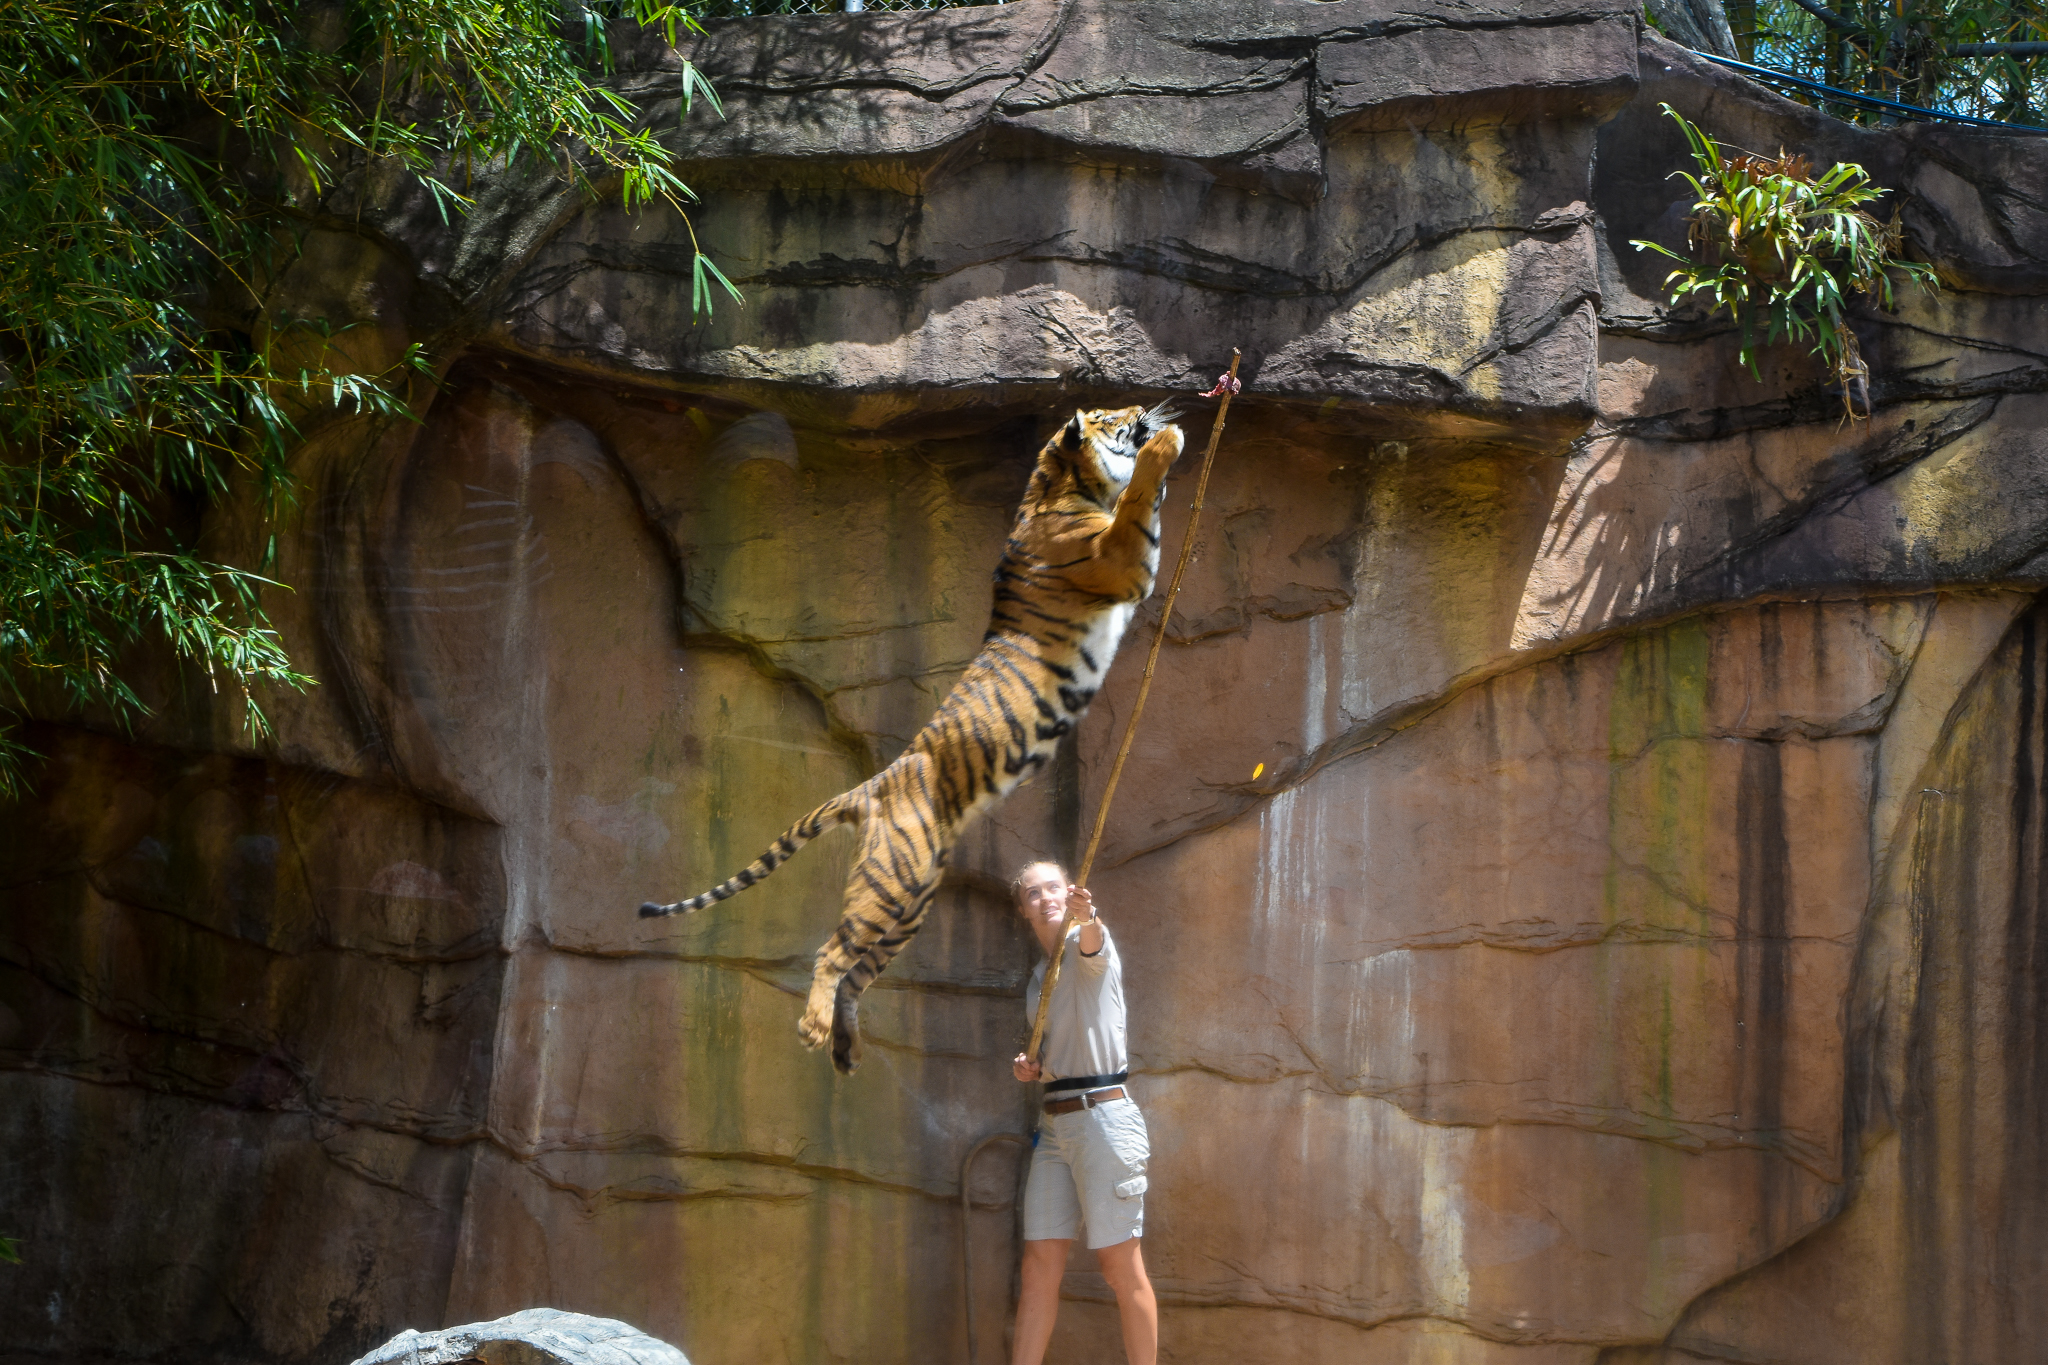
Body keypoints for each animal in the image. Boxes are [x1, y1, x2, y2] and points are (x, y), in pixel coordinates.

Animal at [639, 401, 1186, 1073]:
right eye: (1111, 416)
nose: (1142, 409)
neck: (1060, 488)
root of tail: (871, 785)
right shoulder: (1116, 559)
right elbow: (1138, 506)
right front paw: (1166, 443)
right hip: (889, 883)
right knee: (831, 953)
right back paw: (814, 1029)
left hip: (910, 903)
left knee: (857, 973)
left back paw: (845, 1050)